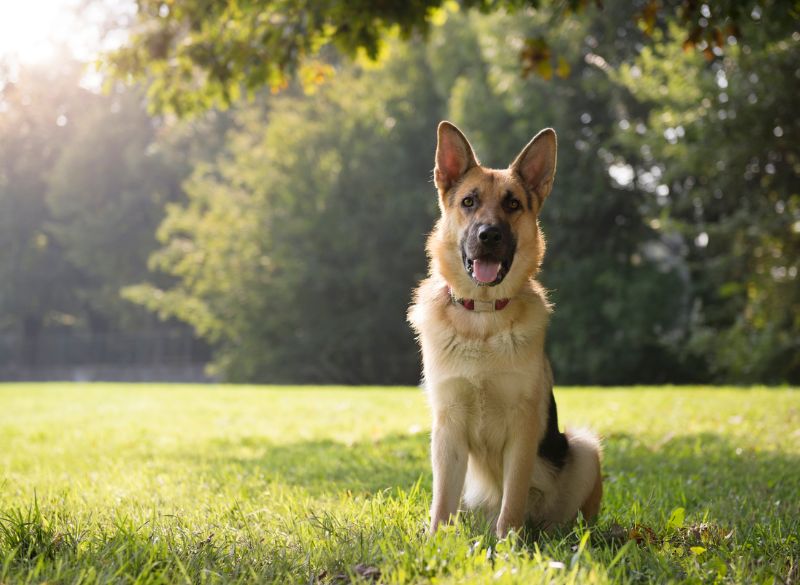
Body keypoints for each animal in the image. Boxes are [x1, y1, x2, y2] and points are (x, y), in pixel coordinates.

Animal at [410, 121, 604, 536]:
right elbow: (441, 502)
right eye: (469, 202)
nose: (489, 235)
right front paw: (435, 541)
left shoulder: (523, 428)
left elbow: (512, 497)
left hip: (584, 448)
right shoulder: (447, 429)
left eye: (512, 204)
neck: (482, 318)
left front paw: (509, 543)